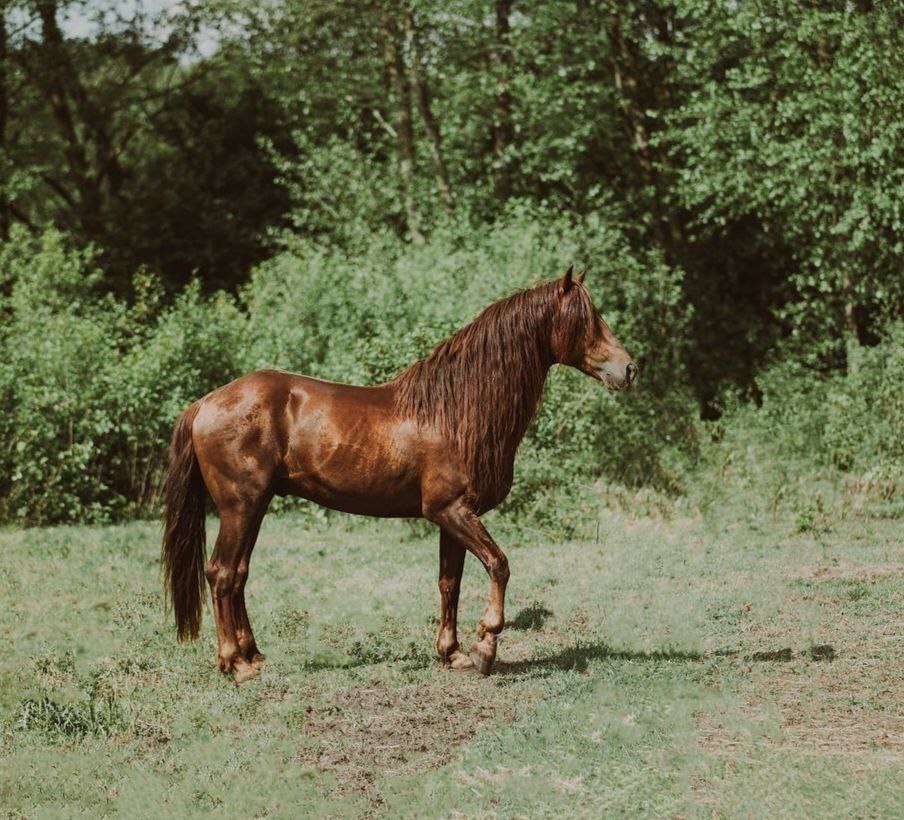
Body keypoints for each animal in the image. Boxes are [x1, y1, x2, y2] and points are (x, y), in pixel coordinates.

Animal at [166, 266, 640, 684]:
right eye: (585, 319)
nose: (629, 368)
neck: (457, 412)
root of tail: (205, 404)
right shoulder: (451, 512)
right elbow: (499, 565)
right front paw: (486, 646)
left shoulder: (453, 518)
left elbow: (450, 582)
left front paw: (453, 653)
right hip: (240, 506)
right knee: (222, 573)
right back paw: (236, 665)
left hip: (255, 506)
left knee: (239, 574)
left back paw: (253, 655)